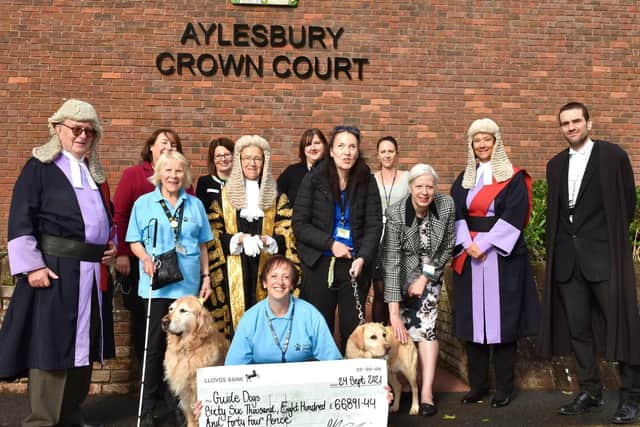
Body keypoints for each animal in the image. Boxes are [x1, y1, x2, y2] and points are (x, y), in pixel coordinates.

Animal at [161, 296, 229, 427]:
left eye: (183, 310)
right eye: (171, 309)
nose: (164, 321)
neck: (187, 350)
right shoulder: (185, 394)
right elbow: (191, 418)